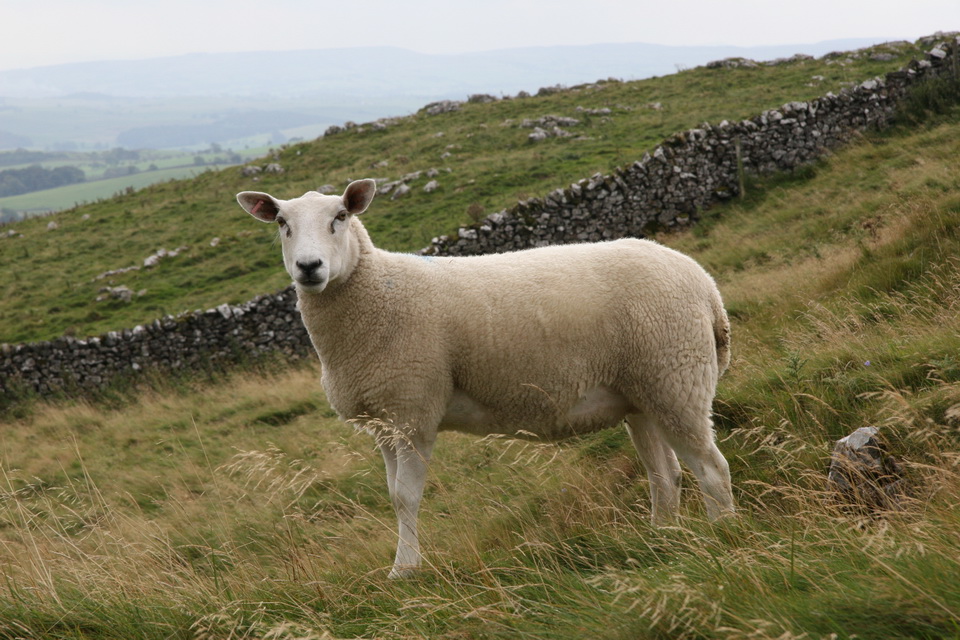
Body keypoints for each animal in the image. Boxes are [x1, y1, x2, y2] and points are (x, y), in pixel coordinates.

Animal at [236, 179, 734, 579]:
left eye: (340, 217)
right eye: (281, 222)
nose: (309, 267)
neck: (376, 291)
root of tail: (706, 285)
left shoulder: (413, 410)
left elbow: (405, 498)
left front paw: (406, 571)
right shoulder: (384, 421)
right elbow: (391, 494)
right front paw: (401, 567)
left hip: (676, 376)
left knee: (711, 467)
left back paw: (722, 537)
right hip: (642, 394)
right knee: (665, 474)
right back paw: (660, 537)